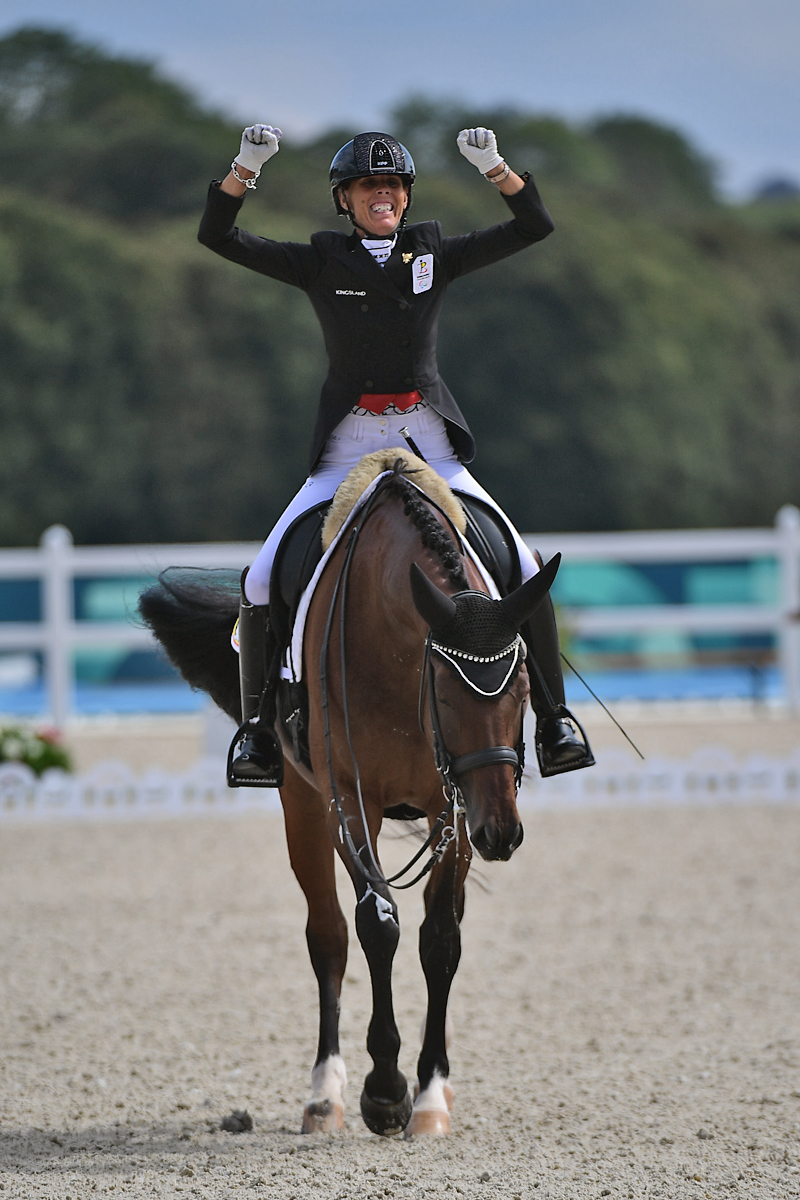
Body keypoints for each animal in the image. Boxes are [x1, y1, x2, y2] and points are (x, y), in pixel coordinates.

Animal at [139, 453, 563, 1137]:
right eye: (446, 695)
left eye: (525, 685)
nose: (501, 833)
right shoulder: (350, 801)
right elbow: (376, 924)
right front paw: (385, 1093)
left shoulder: (453, 807)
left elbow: (440, 938)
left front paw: (429, 1096)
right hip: (304, 807)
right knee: (329, 935)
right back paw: (325, 1094)